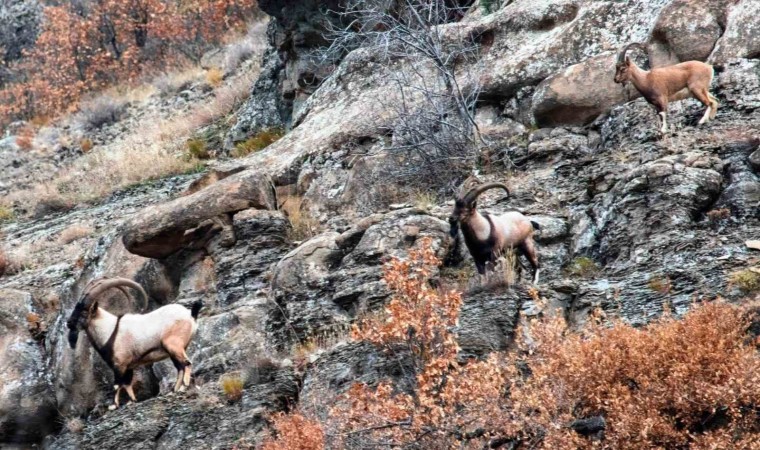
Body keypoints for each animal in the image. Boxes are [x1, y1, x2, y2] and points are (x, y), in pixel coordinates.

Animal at [67, 276, 202, 410]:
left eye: (84, 312)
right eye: (75, 308)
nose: (69, 323)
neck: (110, 331)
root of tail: (190, 315)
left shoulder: (120, 364)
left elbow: (117, 384)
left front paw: (113, 405)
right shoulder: (129, 366)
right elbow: (127, 383)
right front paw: (131, 401)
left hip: (174, 345)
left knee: (186, 363)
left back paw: (183, 387)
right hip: (175, 349)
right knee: (179, 367)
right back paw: (174, 390)